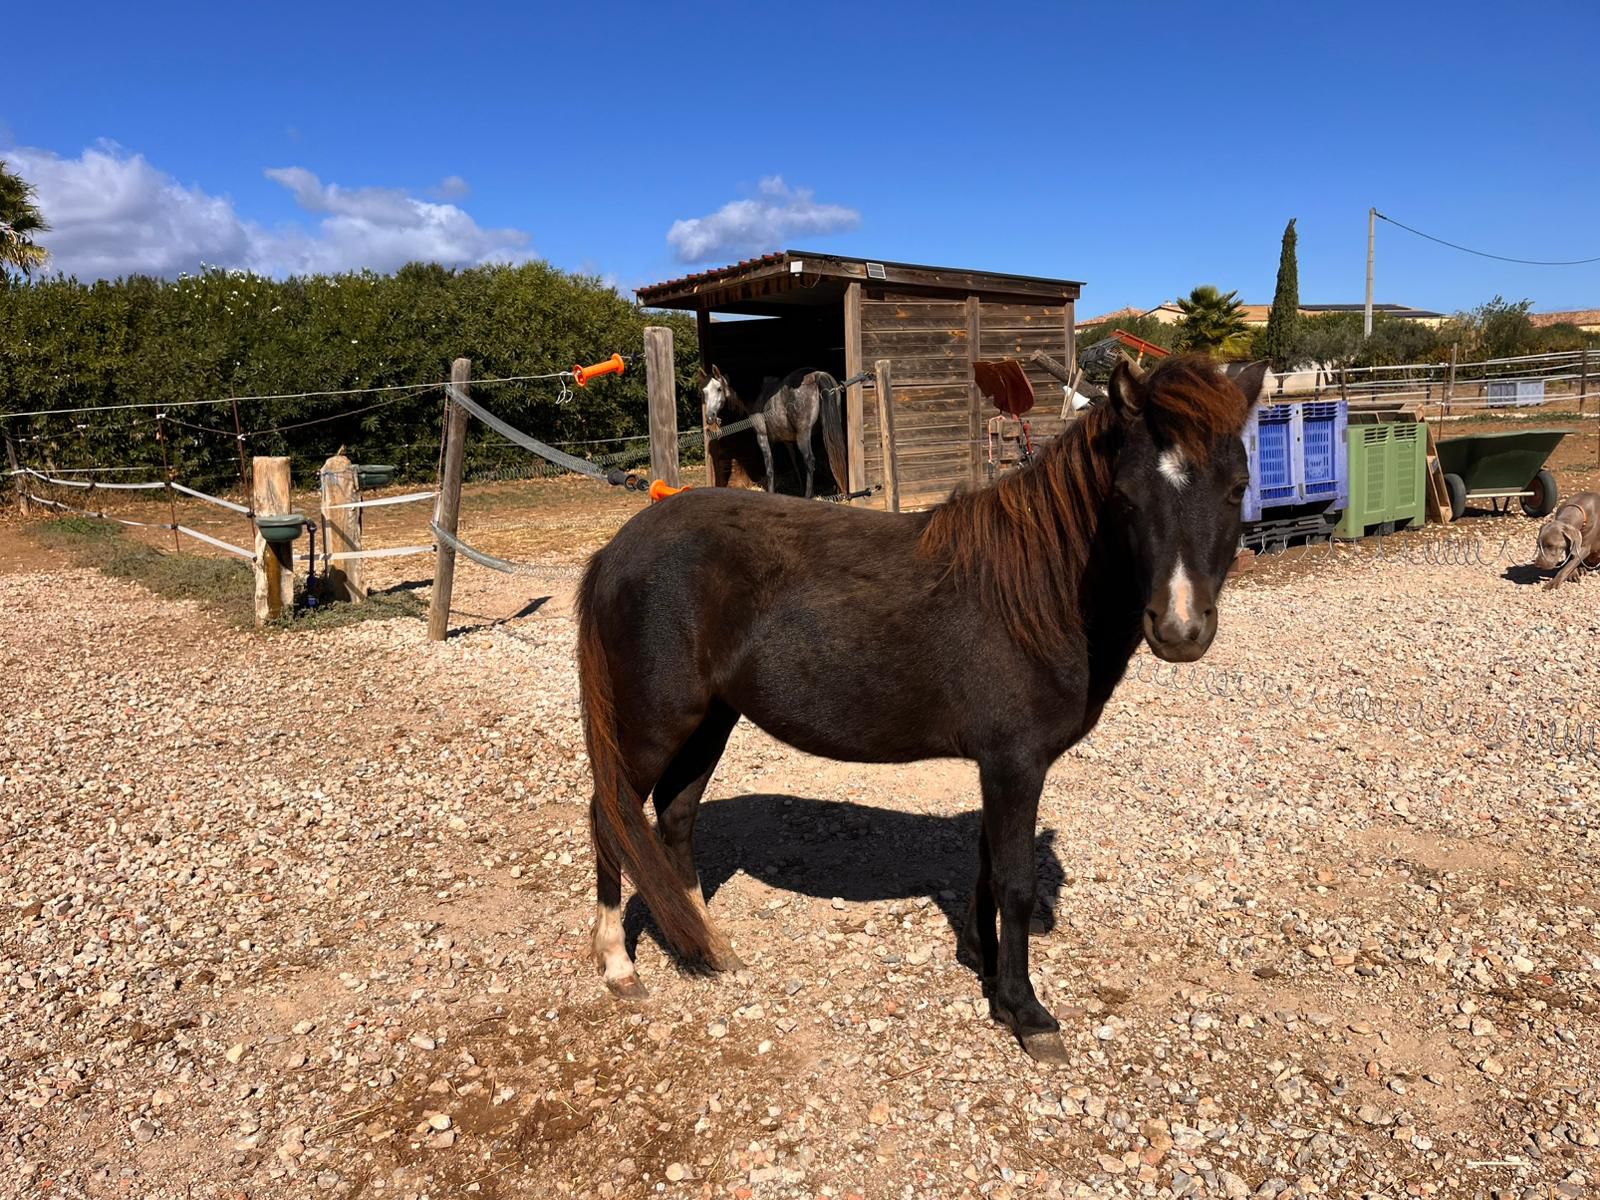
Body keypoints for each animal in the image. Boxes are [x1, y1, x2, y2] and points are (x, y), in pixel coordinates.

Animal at [701, 365, 848, 499]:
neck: (758, 394)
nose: (709, 417)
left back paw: (808, 496)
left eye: (719, 389)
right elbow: (793, 461)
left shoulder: (762, 437)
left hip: (803, 434)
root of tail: (815, 375)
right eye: (704, 392)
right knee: (833, 451)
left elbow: (769, 467)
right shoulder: (785, 440)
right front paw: (799, 486)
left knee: (809, 461)